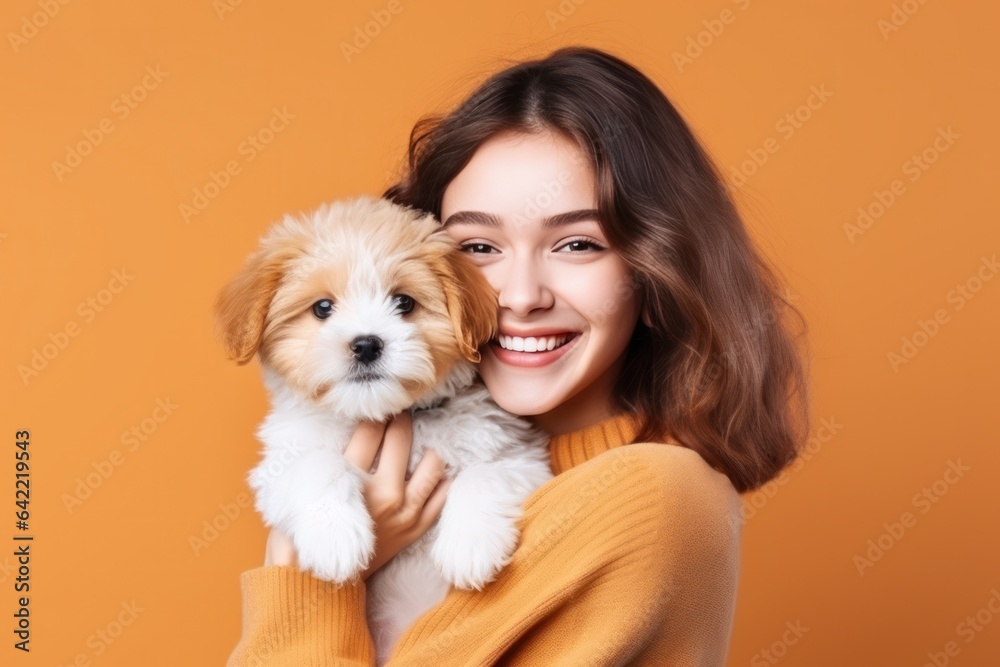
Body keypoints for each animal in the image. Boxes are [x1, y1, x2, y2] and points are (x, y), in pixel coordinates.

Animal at [213, 194, 556, 664]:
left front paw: (470, 544)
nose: (366, 344)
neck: (384, 414)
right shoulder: (279, 463)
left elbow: (485, 474)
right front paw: (335, 536)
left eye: (404, 303)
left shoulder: (521, 454)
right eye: (323, 308)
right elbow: (318, 466)